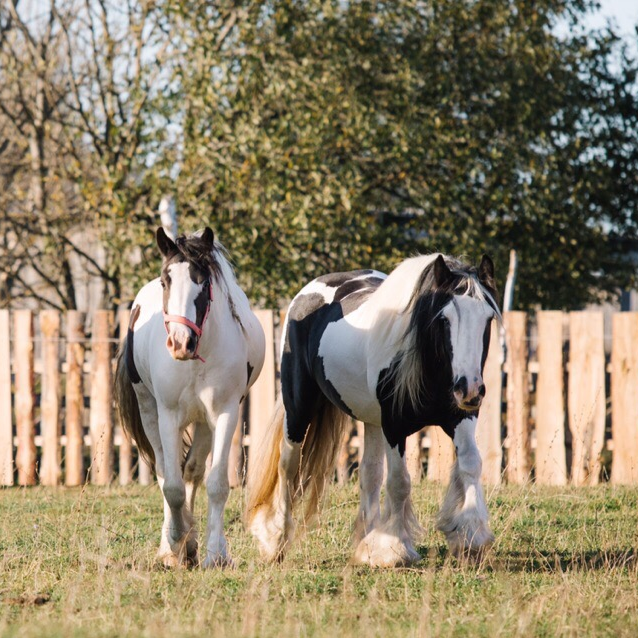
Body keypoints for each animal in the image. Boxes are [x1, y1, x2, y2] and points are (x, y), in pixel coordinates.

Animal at [115, 228, 264, 568]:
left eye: (204, 282)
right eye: (165, 281)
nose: (181, 342)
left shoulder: (225, 413)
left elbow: (216, 485)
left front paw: (215, 553)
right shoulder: (168, 415)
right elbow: (171, 486)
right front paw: (174, 546)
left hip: (205, 423)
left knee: (193, 471)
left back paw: (196, 543)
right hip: (149, 411)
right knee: (164, 472)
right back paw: (174, 545)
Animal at [248, 252, 502, 568]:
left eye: (487, 318)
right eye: (444, 319)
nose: (470, 388)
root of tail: (306, 295)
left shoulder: (460, 416)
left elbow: (470, 464)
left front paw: (470, 536)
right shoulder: (395, 426)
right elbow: (399, 482)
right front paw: (394, 547)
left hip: (371, 420)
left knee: (369, 474)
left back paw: (365, 544)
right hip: (298, 410)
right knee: (288, 467)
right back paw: (277, 541)